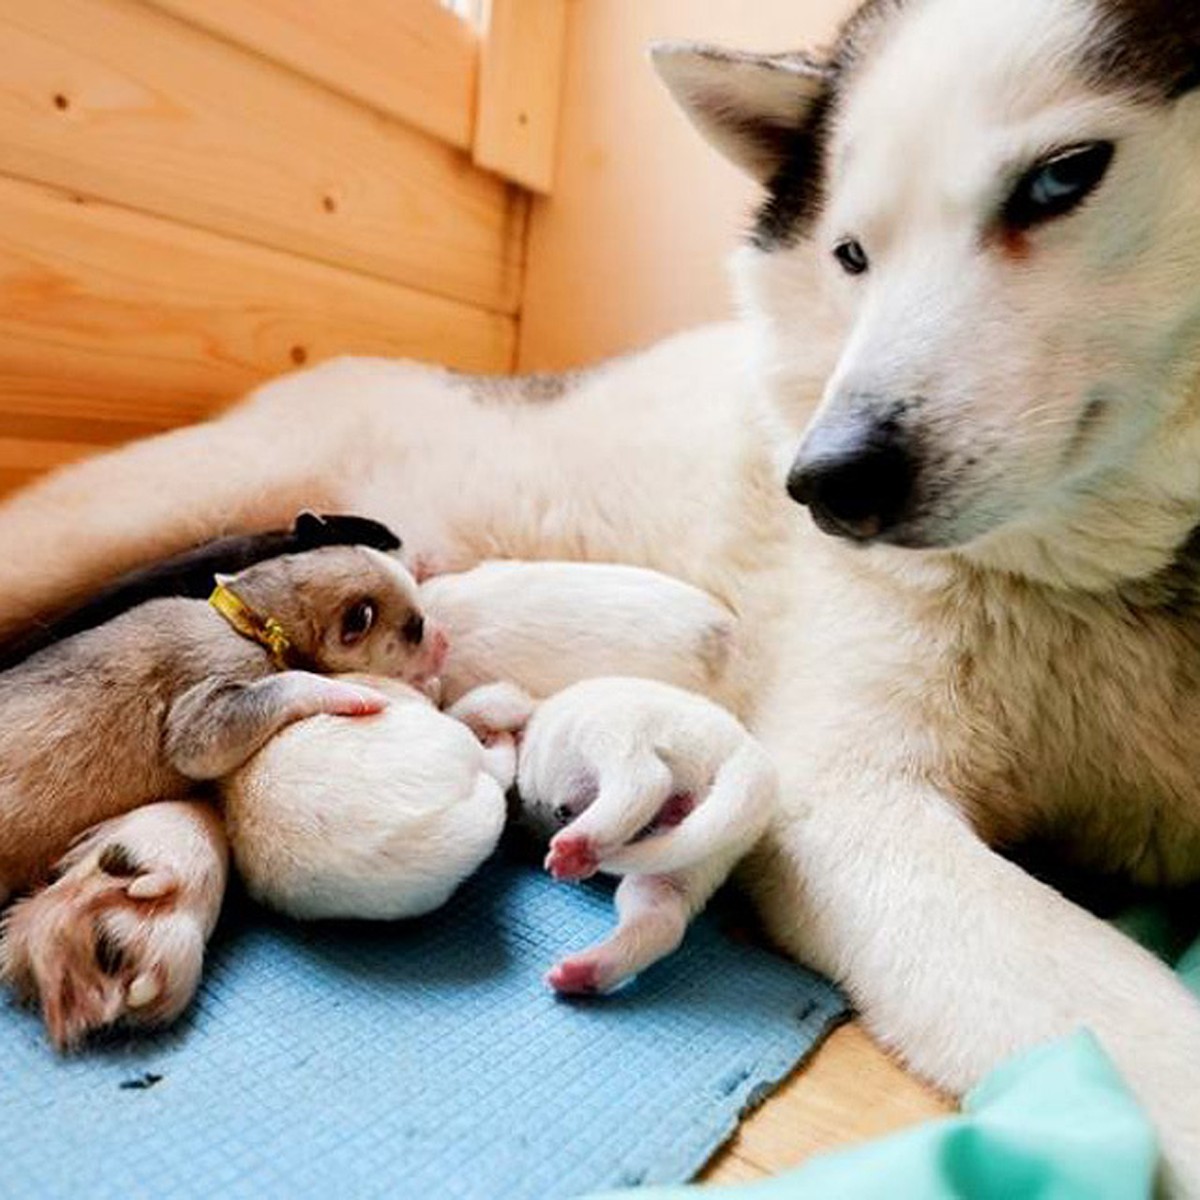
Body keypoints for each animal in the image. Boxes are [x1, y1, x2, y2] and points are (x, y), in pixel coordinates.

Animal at [451, 676, 777, 993]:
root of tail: (747, 758)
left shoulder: (507, 700)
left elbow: (480, 704)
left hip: (610, 729)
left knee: (644, 779)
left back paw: (580, 844)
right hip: (691, 856)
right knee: (662, 919)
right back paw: (585, 971)